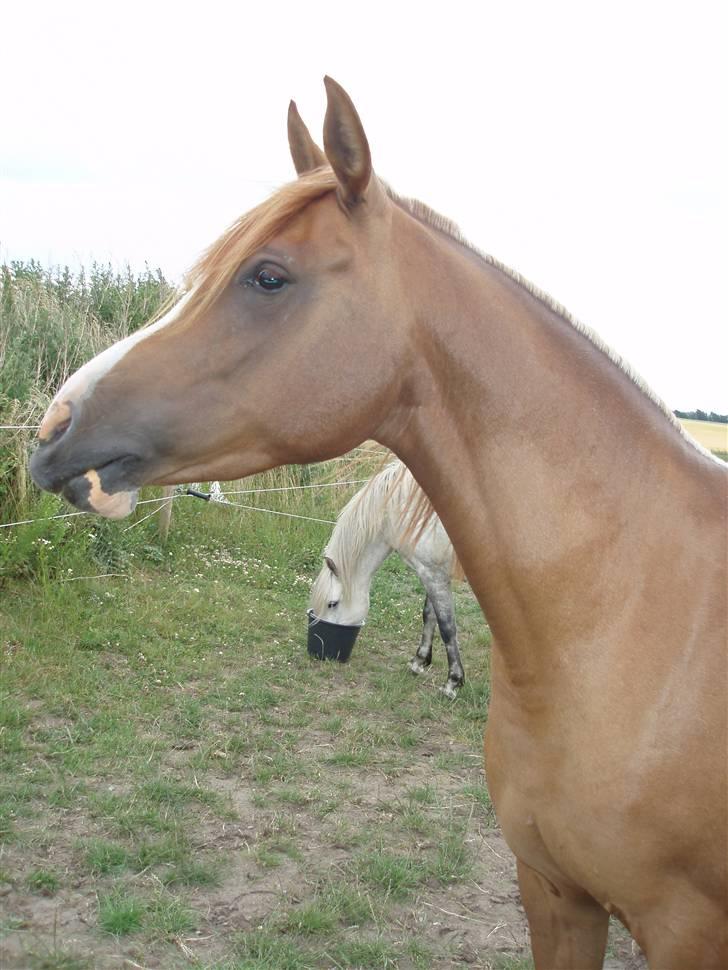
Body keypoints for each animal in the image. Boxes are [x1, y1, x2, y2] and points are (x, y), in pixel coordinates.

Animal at [310, 462, 464, 696]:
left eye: (332, 604)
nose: (321, 648)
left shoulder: (434, 575)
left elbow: (447, 627)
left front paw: (452, 683)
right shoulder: (431, 573)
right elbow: (429, 615)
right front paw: (419, 662)